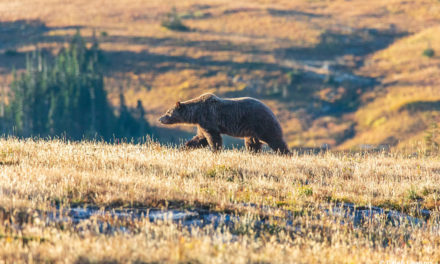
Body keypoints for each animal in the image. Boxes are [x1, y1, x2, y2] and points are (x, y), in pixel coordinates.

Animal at [157, 93, 288, 154]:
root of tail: (270, 110)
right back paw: (253, 153)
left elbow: (213, 137)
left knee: (274, 139)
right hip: (251, 131)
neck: (196, 113)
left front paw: (215, 151)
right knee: (252, 143)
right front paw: (183, 148)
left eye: (168, 112)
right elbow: (200, 138)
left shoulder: (208, 118)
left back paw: (285, 153)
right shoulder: (202, 123)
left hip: (261, 123)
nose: (160, 119)